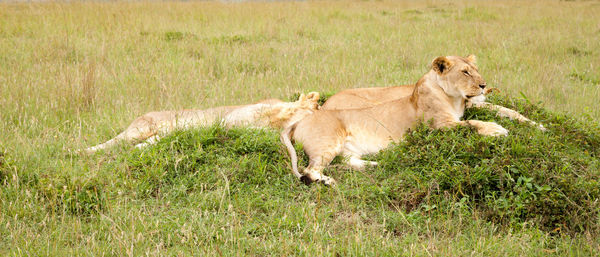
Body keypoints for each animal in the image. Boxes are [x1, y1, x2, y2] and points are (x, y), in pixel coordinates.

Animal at [282, 55, 528, 184]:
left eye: (476, 70)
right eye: (465, 72)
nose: (484, 85)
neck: (454, 98)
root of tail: (299, 121)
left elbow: (500, 110)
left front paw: (530, 123)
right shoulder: (440, 127)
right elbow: (472, 124)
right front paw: (497, 130)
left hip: (346, 148)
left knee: (346, 161)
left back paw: (377, 163)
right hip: (328, 141)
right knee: (309, 169)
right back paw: (328, 181)